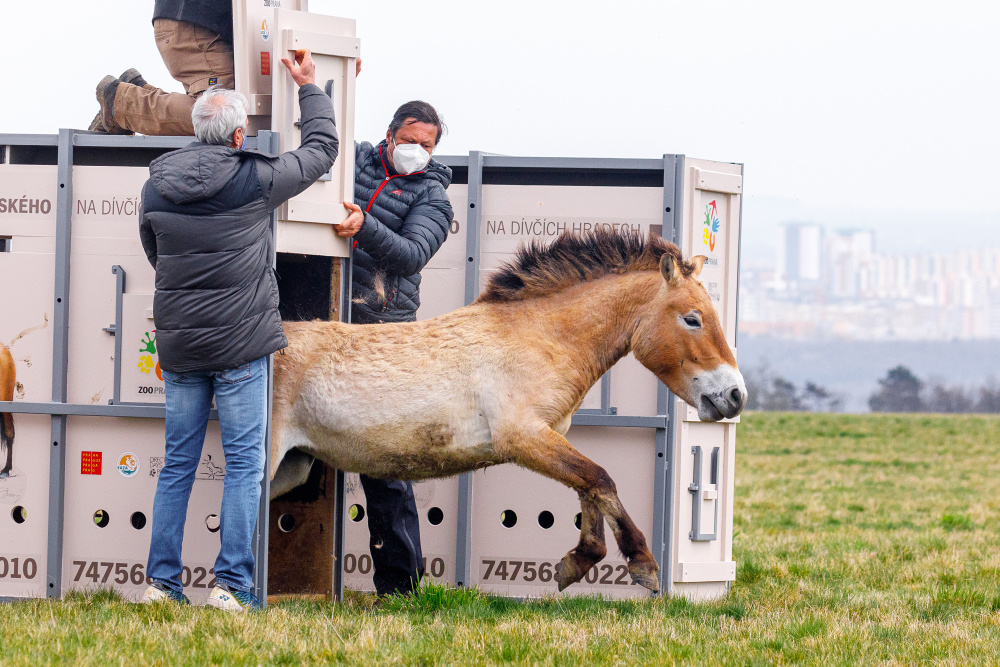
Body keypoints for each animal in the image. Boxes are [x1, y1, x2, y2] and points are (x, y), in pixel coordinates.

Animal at [270, 230, 748, 588]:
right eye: (692, 319)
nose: (735, 395)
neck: (541, 337)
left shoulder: (549, 435)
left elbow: (589, 487)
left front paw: (579, 561)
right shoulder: (523, 437)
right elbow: (600, 479)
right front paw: (642, 563)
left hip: (292, 466)